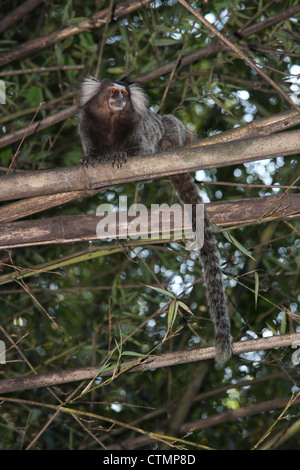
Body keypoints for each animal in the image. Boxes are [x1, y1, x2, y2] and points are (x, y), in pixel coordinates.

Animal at [78, 75, 232, 366]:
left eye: (125, 94)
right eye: (112, 91)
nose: (120, 98)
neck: (111, 121)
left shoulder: (140, 131)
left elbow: (143, 147)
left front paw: (121, 155)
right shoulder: (87, 128)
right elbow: (90, 150)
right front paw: (91, 158)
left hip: (174, 135)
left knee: (172, 125)